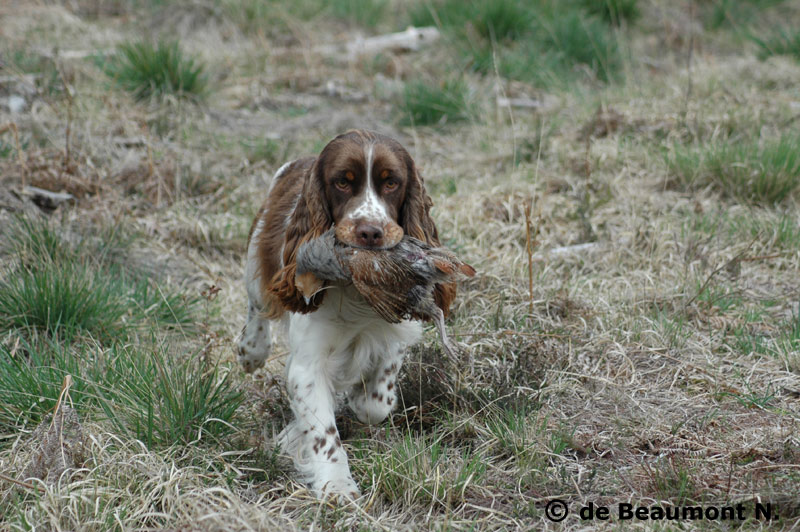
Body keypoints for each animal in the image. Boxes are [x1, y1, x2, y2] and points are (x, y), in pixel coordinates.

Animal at [238, 130, 456, 498]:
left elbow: (375, 402)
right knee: (258, 308)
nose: (369, 232)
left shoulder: (397, 328)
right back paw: (251, 351)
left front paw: (356, 400)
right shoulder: (308, 362)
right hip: (257, 257)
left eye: (392, 182)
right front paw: (337, 485)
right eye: (342, 182)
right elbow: (323, 430)